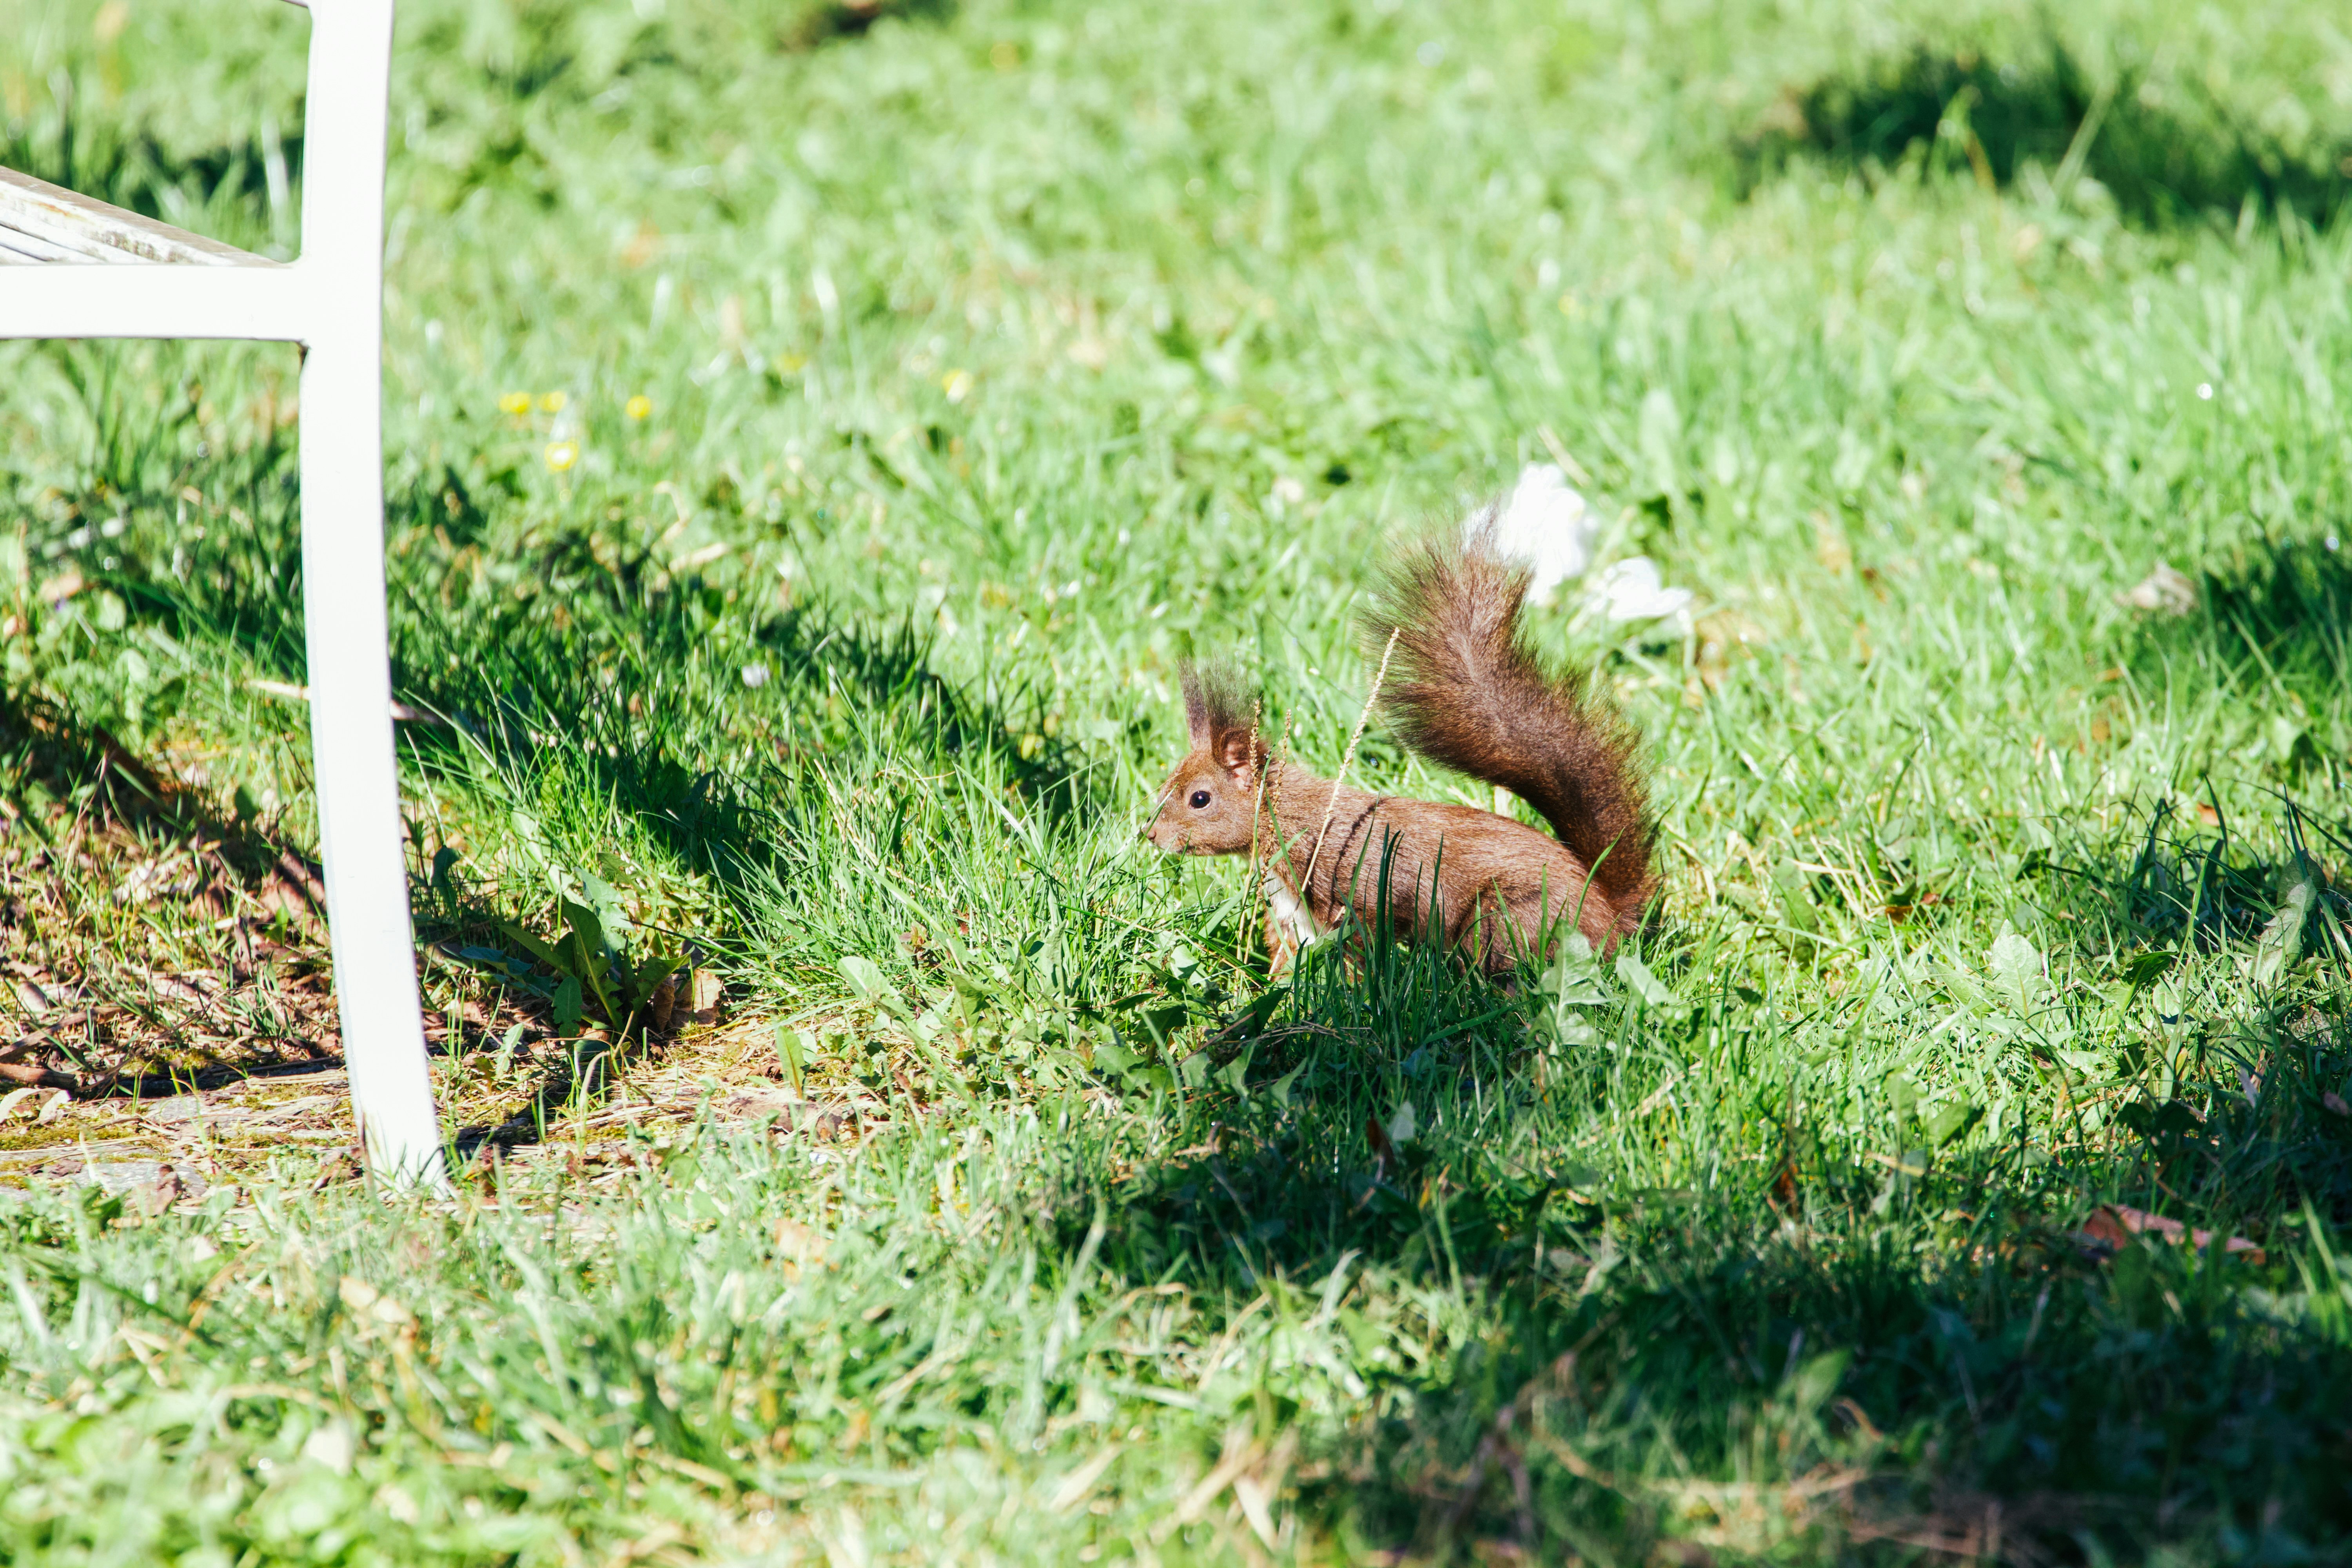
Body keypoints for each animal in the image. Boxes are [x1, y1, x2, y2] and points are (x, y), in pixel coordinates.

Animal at [1146, 520, 1658, 976]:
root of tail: (1609, 914)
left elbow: (1360, 954)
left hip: (1510, 916)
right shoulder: (1293, 914)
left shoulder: (1355, 889)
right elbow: (1290, 961)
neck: (1289, 819)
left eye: (1199, 798)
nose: (1149, 836)